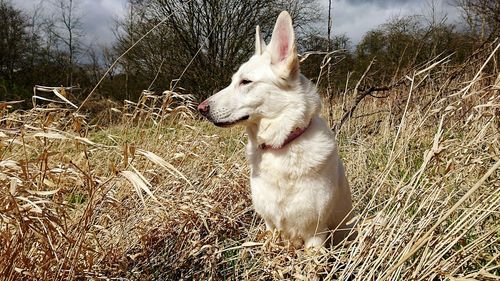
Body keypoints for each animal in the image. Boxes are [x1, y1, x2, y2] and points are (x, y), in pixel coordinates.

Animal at [197, 11, 354, 247]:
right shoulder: (271, 226)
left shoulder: (315, 234)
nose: (201, 109)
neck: (281, 144)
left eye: (245, 82)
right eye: (233, 81)